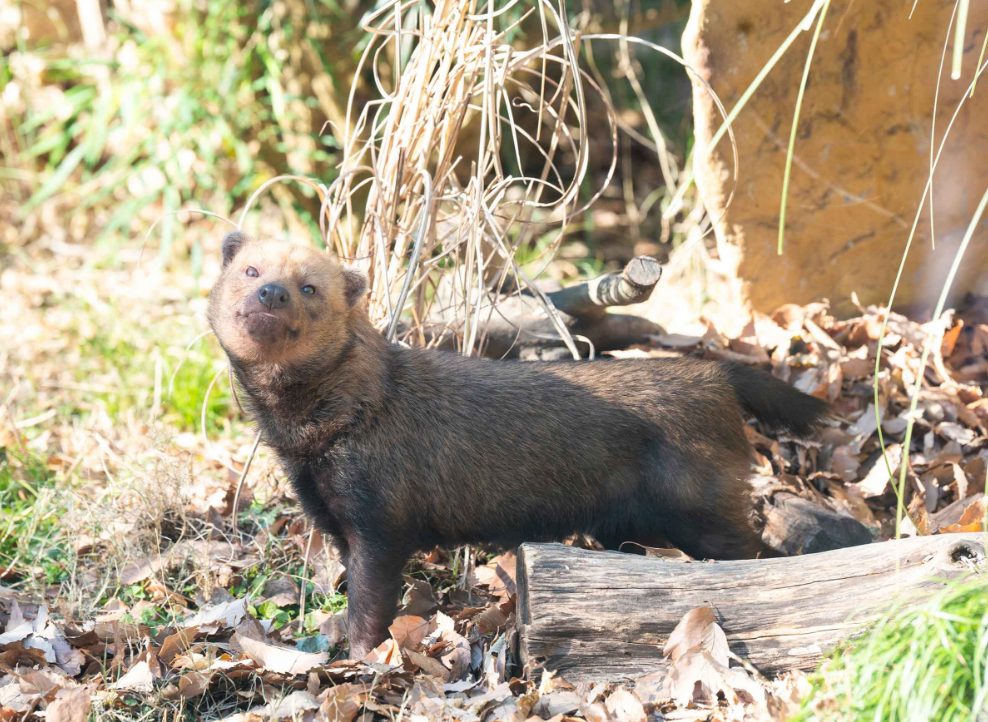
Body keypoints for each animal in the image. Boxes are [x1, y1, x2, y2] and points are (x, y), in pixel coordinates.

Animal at [206, 232, 824, 660]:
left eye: (310, 287)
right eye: (251, 269)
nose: (271, 292)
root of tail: (715, 375)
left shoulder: (378, 524)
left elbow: (369, 607)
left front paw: (358, 661)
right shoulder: (334, 521)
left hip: (705, 513)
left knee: (760, 557)